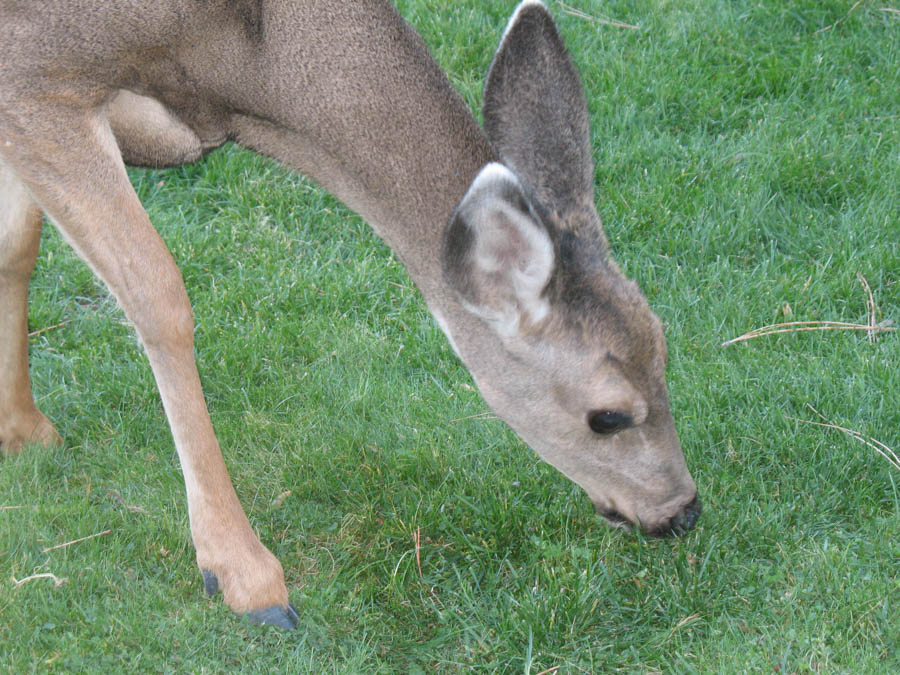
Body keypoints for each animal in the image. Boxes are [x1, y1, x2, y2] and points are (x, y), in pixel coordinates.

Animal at [0, 0, 700, 632]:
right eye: (607, 415)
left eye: (664, 352)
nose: (682, 511)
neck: (239, 64)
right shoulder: (37, 76)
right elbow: (158, 295)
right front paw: (245, 576)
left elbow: (17, 242)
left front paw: (23, 431)